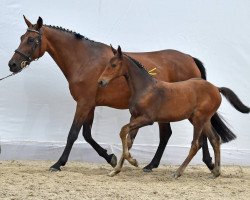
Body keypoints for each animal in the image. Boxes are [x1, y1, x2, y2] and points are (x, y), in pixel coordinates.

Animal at [98, 46, 250, 177]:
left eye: (113, 65)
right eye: (107, 64)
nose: (100, 82)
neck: (145, 88)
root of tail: (216, 88)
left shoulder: (147, 119)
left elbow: (123, 130)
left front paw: (132, 162)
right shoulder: (134, 117)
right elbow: (128, 141)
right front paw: (116, 170)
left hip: (198, 120)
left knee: (196, 144)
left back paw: (178, 172)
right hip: (203, 119)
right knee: (215, 139)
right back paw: (216, 171)